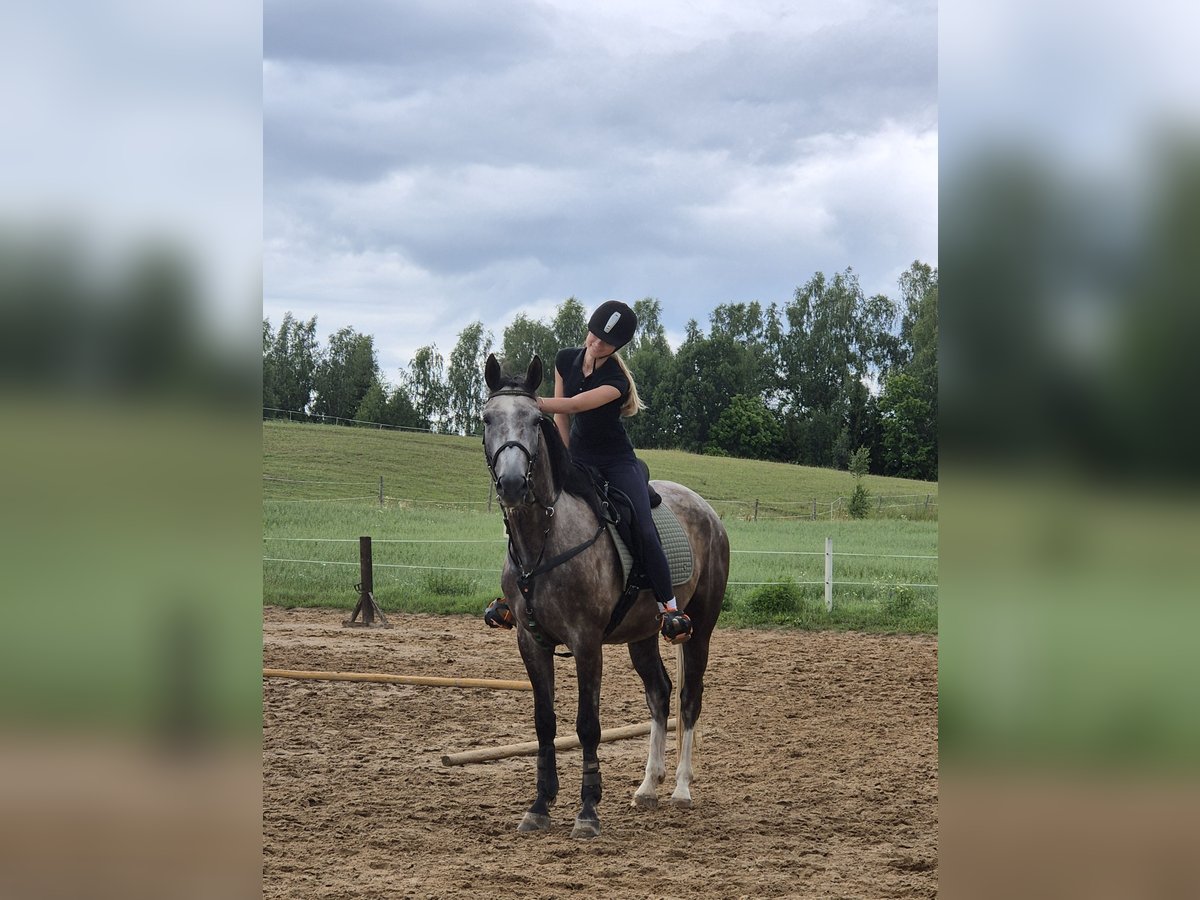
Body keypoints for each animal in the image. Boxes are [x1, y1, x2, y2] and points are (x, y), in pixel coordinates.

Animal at [480, 352, 729, 840]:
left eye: (536, 420)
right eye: (487, 418)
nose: (514, 484)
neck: (544, 541)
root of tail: (707, 510)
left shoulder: (586, 642)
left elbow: (587, 725)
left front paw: (587, 811)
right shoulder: (530, 642)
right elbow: (545, 723)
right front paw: (539, 806)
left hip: (700, 629)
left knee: (689, 698)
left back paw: (681, 788)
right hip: (642, 634)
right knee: (660, 693)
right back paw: (648, 786)